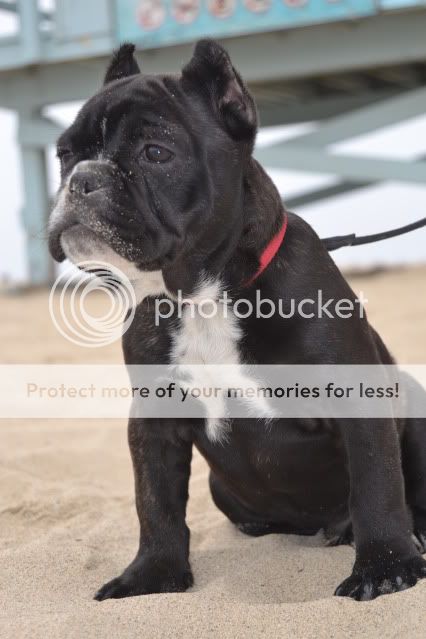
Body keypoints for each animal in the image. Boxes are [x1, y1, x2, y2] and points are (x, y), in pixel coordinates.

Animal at [48, 40, 426, 600]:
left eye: (155, 153)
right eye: (64, 155)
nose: (83, 178)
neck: (202, 295)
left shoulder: (358, 397)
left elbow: (377, 483)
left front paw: (385, 566)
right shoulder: (154, 418)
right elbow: (154, 501)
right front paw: (152, 575)